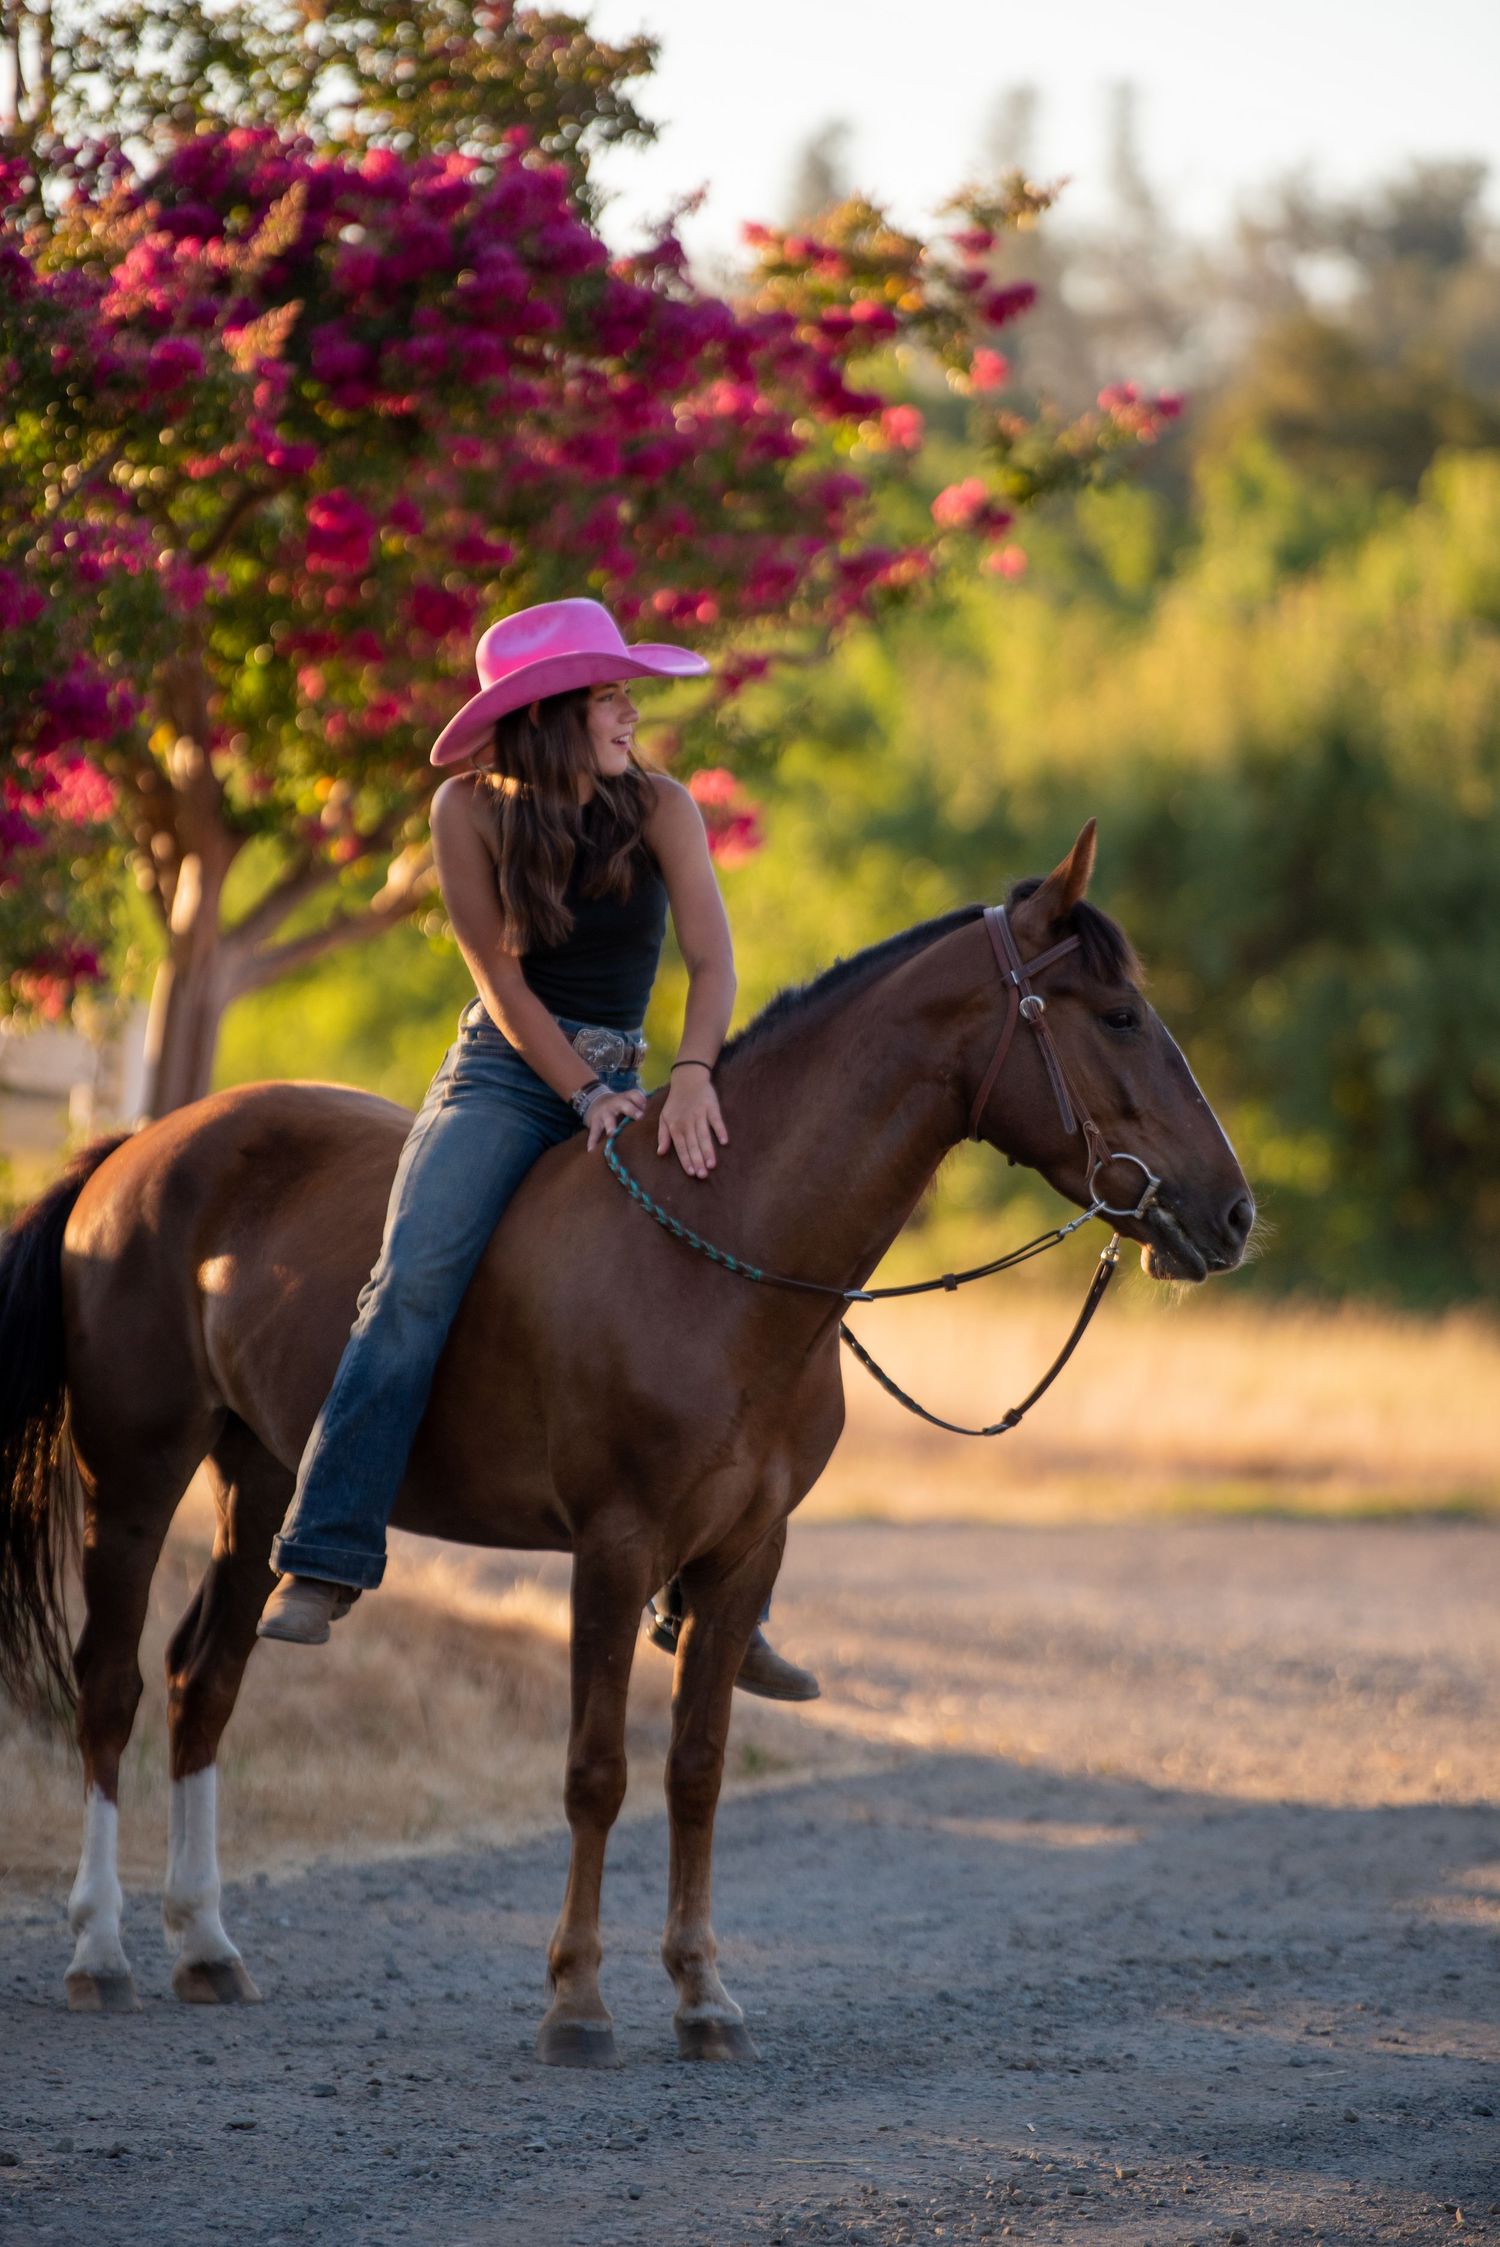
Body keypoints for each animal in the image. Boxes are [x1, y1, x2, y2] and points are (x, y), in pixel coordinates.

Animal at [0, 823, 1253, 2061]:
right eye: (1120, 1017)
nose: (1234, 1214)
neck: (721, 1249)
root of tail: (134, 1151)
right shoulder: (612, 1548)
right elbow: (596, 1772)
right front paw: (577, 2002)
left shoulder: (745, 1554)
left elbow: (696, 1770)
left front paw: (704, 1996)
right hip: (135, 1473)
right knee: (109, 1683)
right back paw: (100, 1951)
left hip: (259, 1480)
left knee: (202, 1681)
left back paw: (207, 1948)